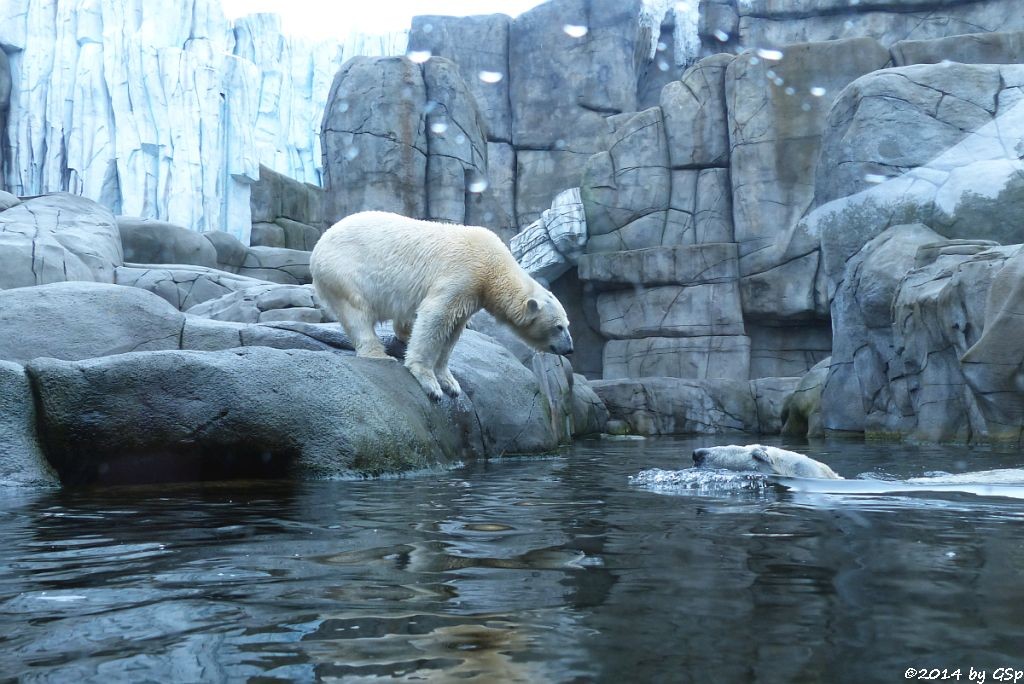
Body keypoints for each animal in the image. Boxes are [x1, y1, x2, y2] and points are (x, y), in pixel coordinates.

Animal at [307, 210, 573, 397]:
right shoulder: (463, 275)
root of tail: (318, 245)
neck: (494, 267)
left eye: (567, 324)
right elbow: (435, 317)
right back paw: (379, 354)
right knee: (357, 313)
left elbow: (453, 331)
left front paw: (450, 382)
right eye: (559, 326)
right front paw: (430, 383)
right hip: (343, 271)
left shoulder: (472, 294)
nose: (569, 348)